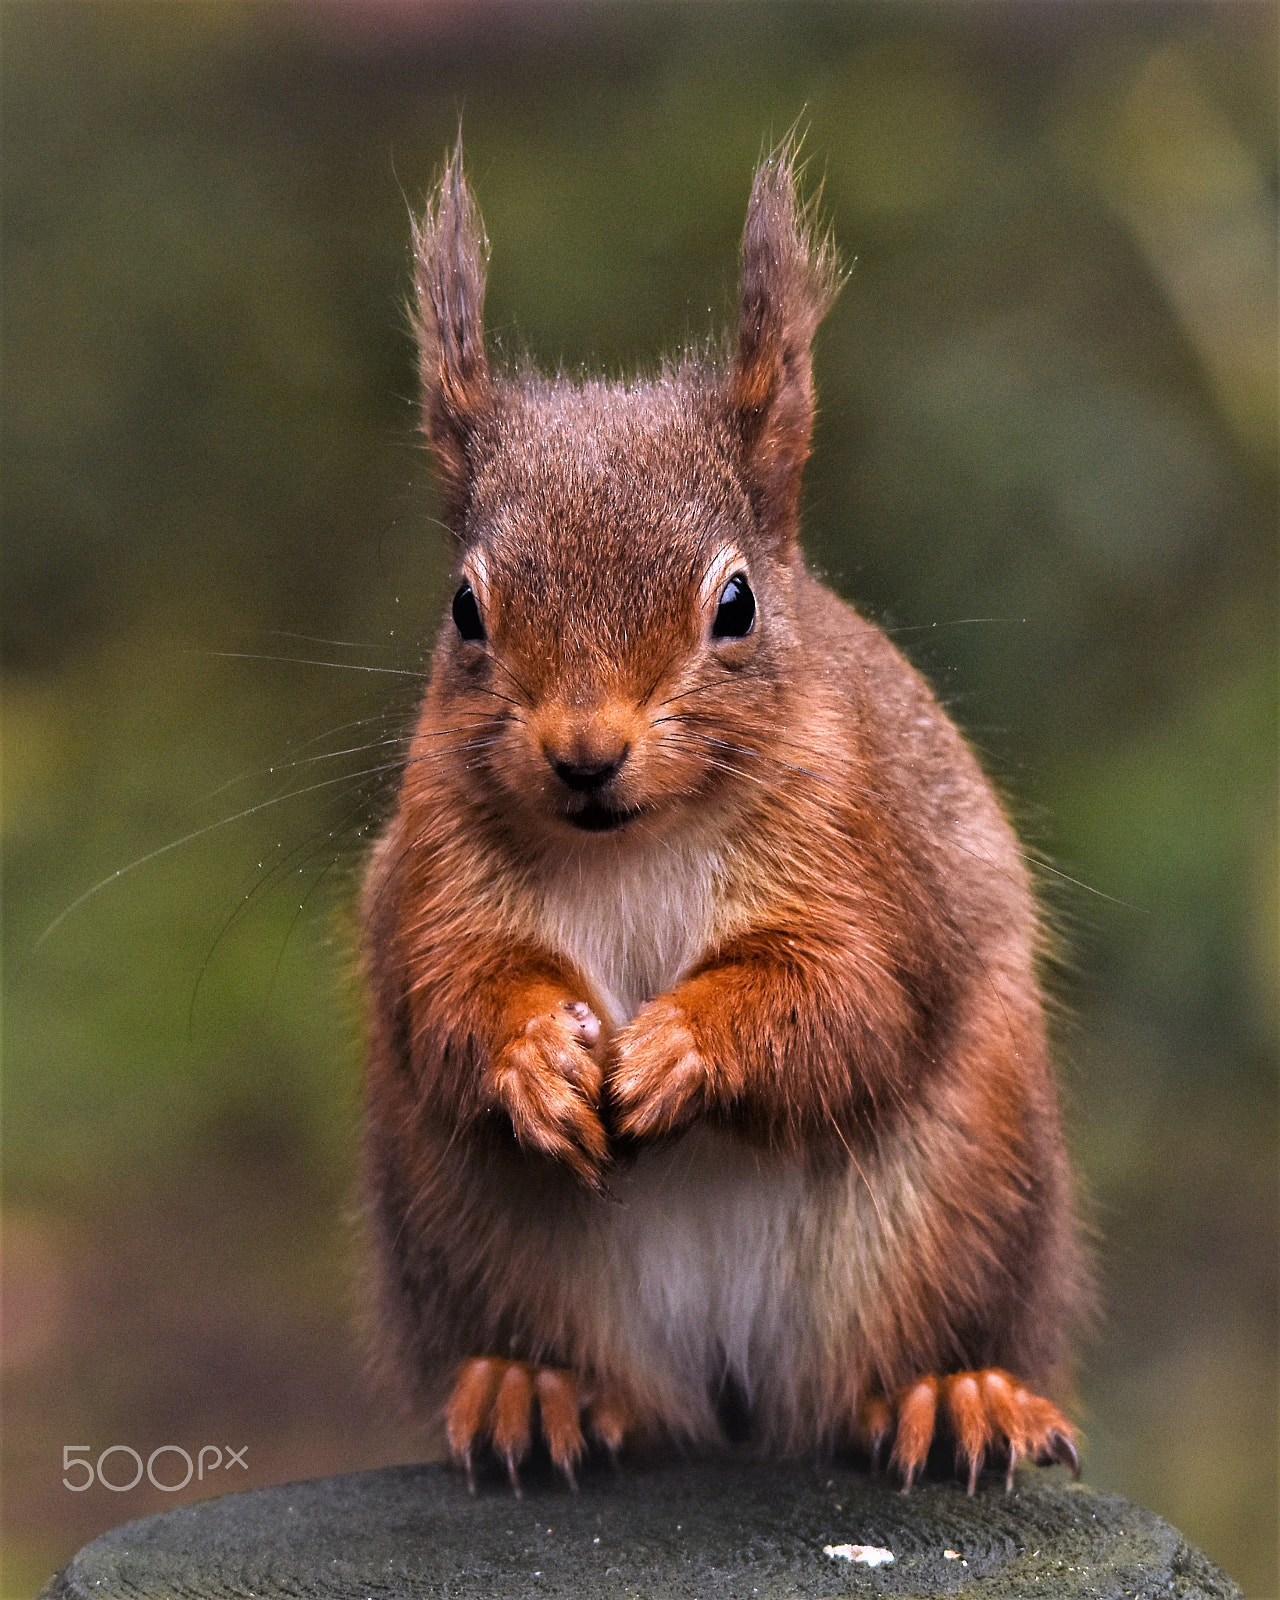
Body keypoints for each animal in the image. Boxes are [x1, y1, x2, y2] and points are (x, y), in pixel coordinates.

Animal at [360, 140, 1088, 1497]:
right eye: (465, 609)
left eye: (736, 603)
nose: (584, 753)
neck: (634, 843)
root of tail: (731, 1387)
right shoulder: (433, 865)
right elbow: (449, 988)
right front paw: (535, 1056)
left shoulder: (864, 853)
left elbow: (844, 997)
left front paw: (676, 1050)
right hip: (467, 1227)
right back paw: (533, 1387)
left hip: (962, 1198)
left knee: (901, 1353)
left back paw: (949, 1394)